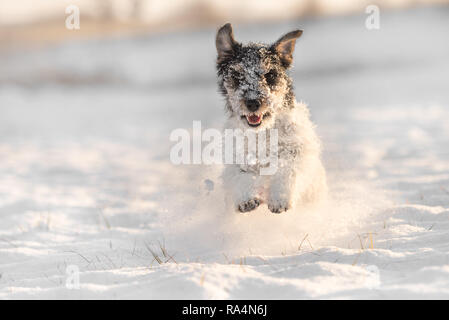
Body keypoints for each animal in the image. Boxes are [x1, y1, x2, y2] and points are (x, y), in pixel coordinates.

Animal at [214, 22, 326, 212]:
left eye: (270, 75)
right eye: (237, 76)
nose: (253, 103)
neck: (263, 132)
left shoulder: (296, 153)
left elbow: (287, 171)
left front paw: (279, 199)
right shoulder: (238, 161)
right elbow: (240, 177)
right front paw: (246, 199)